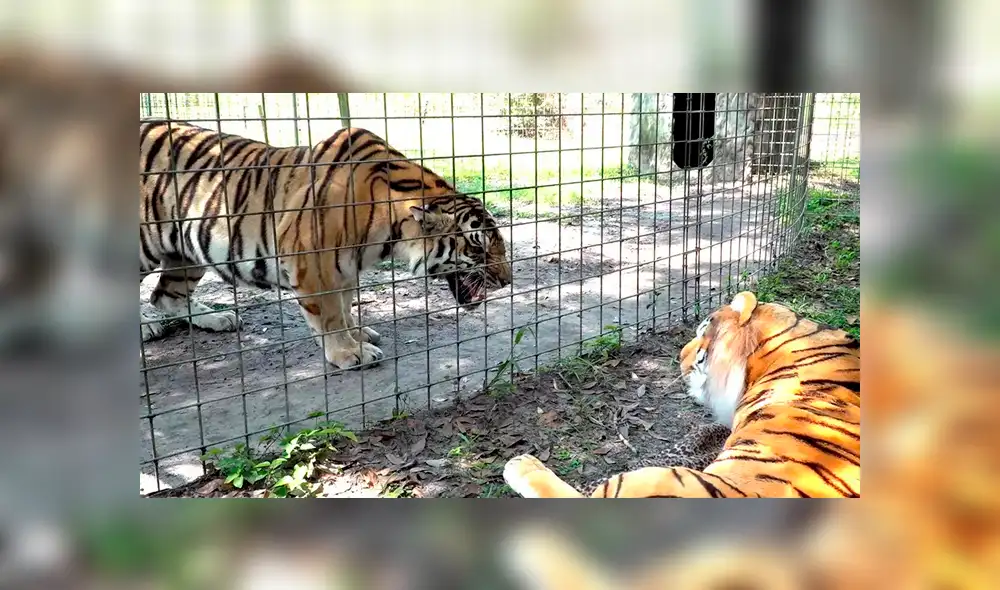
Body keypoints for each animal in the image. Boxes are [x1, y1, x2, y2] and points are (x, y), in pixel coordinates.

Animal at [140, 121, 511, 370]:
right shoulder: (312, 263)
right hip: (146, 244)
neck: (389, 230)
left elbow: (345, 306)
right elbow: (329, 314)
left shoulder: (345, 266)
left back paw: (218, 319)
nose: (507, 281)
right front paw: (349, 353)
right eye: (477, 248)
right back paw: (147, 330)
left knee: (165, 296)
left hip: (186, 251)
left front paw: (359, 334)